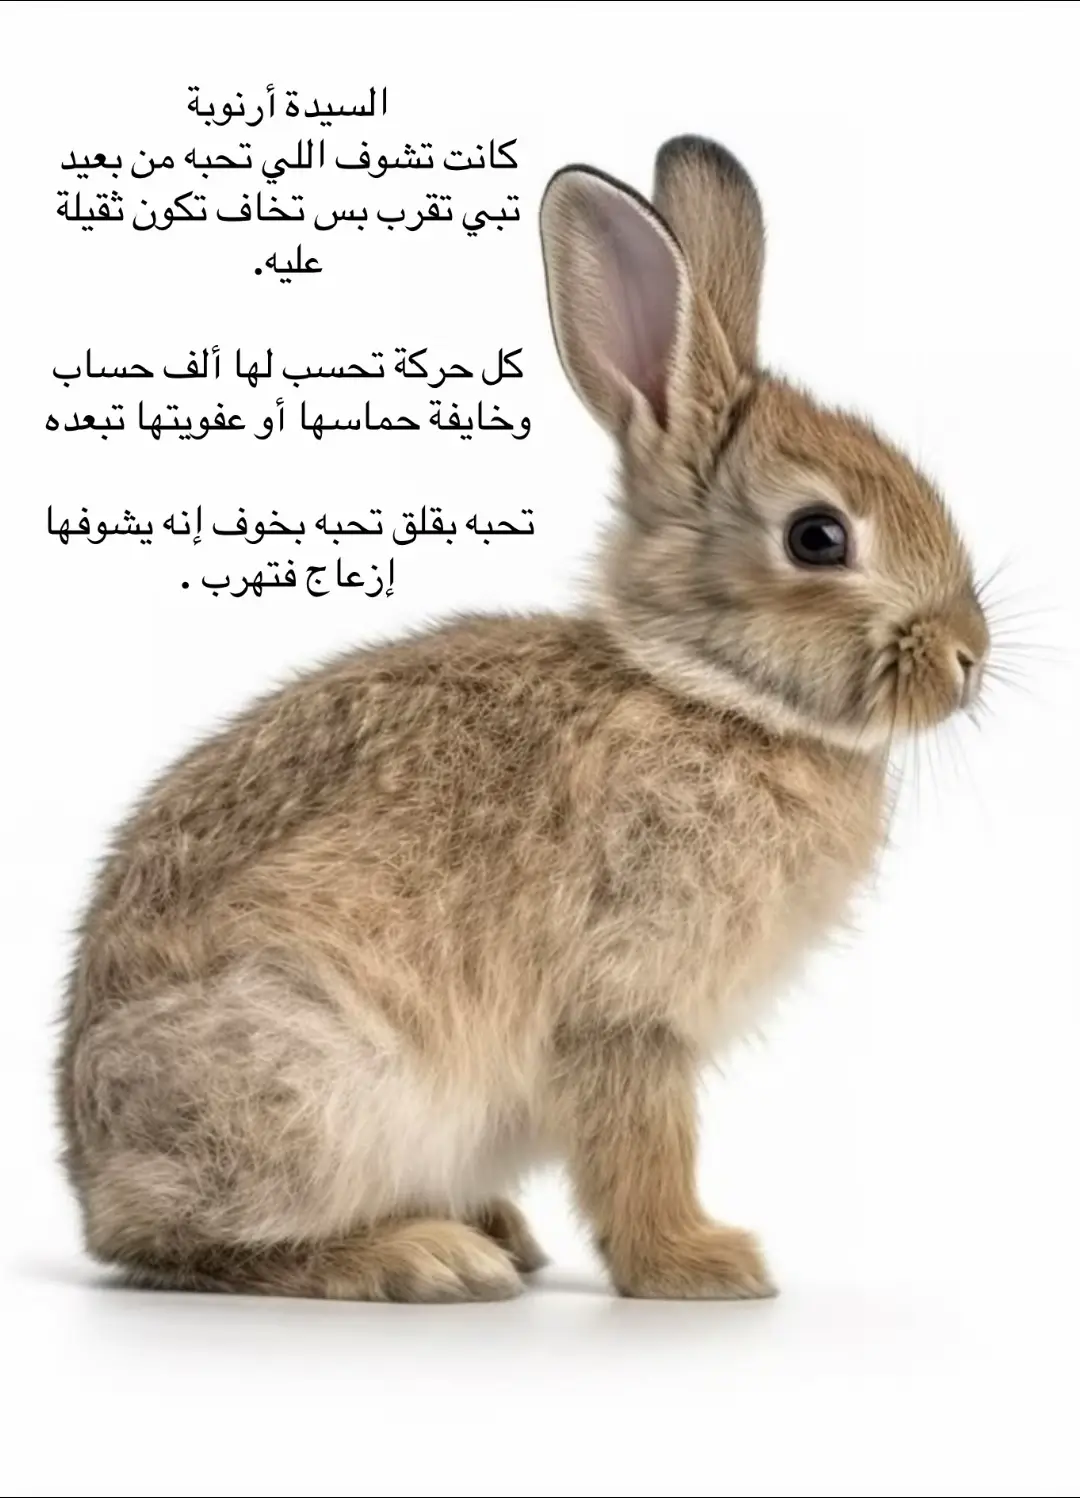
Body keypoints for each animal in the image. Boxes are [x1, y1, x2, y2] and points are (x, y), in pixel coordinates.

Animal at [57, 135, 990, 1302]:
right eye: (818, 537)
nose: (969, 659)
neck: (704, 688)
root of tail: (88, 1177)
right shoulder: (626, 1009)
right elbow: (642, 1146)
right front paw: (704, 1266)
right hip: (309, 1080)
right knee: (189, 1244)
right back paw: (427, 1257)